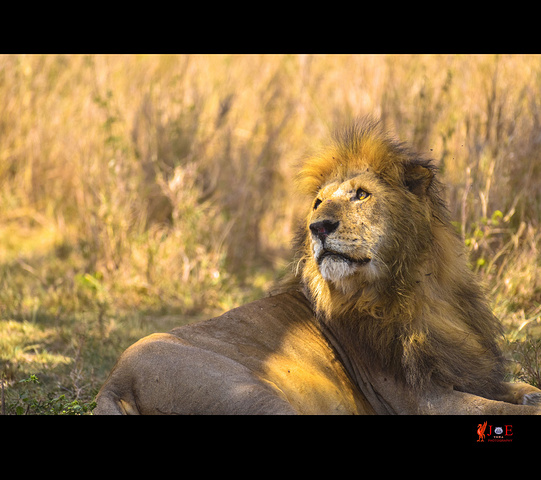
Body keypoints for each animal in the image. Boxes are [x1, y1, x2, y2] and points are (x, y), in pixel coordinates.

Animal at [94, 118, 540, 414]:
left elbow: (517, 389)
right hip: (250, 395)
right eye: (318, 202)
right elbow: (505, 409)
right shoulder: (421, 399)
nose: (318, 226)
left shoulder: (469, 372)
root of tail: (115, 381)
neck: (418, 290)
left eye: (361, 194)